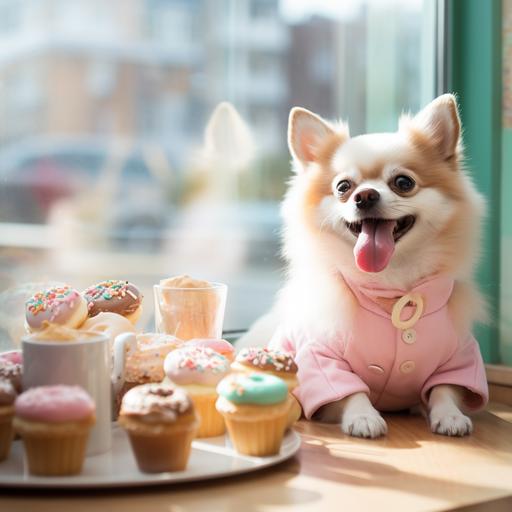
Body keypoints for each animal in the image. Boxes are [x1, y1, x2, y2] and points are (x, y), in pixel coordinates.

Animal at [256, 94, 488, 438]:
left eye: (403, 182)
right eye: (343, 187)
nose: (364, 195)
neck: (391, 284)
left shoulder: (460, 357)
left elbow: (445, 388)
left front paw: (450, 415)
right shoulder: (320, 357)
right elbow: (350, 389)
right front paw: (363, 416)